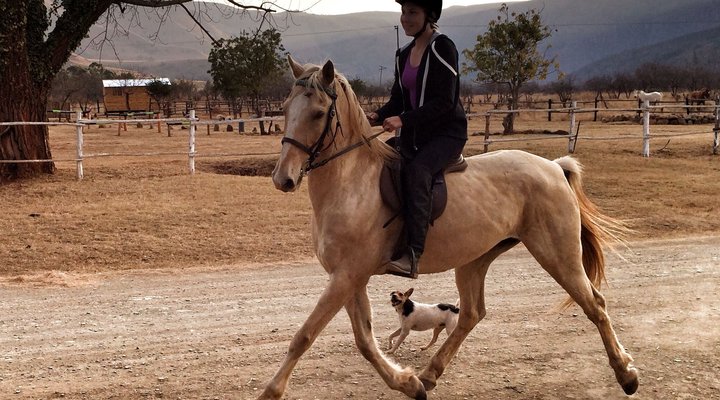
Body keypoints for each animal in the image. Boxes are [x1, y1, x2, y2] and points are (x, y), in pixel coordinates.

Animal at [261, 55, 639, 399]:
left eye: (318, 113)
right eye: (285, 109)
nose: (283, 179)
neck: (351, 182)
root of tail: (554, 167)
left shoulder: (347, 275)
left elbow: (305, 336)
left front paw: (271, 391)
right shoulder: (350, 277)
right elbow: (365, 341)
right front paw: (408, 383)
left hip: (557, 254)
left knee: (595, 304)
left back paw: (626, 375)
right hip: (475, 259)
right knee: (472, 313)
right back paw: (429, 375)